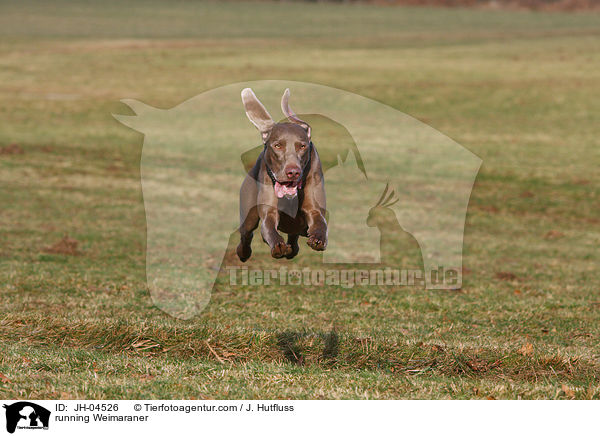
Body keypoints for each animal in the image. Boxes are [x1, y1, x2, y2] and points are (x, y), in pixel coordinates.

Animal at [236, 87, 328, 260]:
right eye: (277, 145)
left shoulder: (314, 209)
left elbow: (320, 221)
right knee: (246, 233)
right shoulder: (269, 212)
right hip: (249, 215)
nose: (293, 172)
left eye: (302, 146)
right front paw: (278, 245)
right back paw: (243, 252)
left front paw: (319, 238)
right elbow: (269, 227)